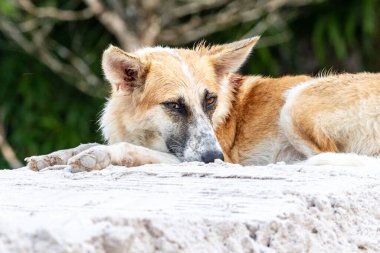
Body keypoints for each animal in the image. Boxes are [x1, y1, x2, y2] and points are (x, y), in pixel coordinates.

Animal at [26, 36, 380, 172]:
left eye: (210, 101)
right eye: (174, 106)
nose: (215, 159)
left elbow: (127, 150)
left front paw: (97, 157)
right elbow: (83, 145)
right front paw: (52, 157)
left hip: (295, 102)